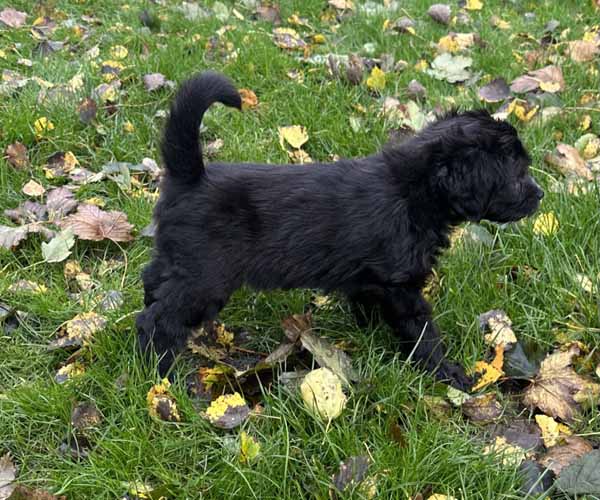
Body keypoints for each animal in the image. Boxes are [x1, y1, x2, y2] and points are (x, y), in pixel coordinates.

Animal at [137, 71, 543, 390]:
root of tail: (190, 176)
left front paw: (369, 335)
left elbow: (367, 306)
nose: (540, 194)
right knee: (158, 320)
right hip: (206, 279)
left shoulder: (370, 281)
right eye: (517, 175)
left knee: (152, 281)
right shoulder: (401, 285)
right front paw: (447, 372)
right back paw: (161, 374)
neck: (412, 190)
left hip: (179, 259)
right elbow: (422, 331)